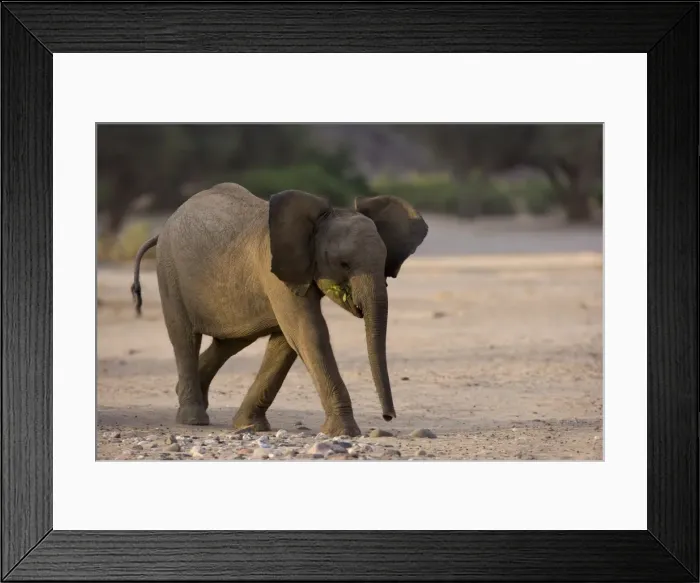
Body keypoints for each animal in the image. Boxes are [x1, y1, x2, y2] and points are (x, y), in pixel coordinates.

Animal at [130, 182, 428, 437]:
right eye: (344, 264)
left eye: (385, 261)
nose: (388, 417)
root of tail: (162, 229)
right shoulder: (274, 271)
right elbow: (308, 333)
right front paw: (345, 432)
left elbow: (287, 341)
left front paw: (250, 426)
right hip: (169, 272)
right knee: (184, 337)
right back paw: (193, 418)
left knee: (231, 341)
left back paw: (185, 395)